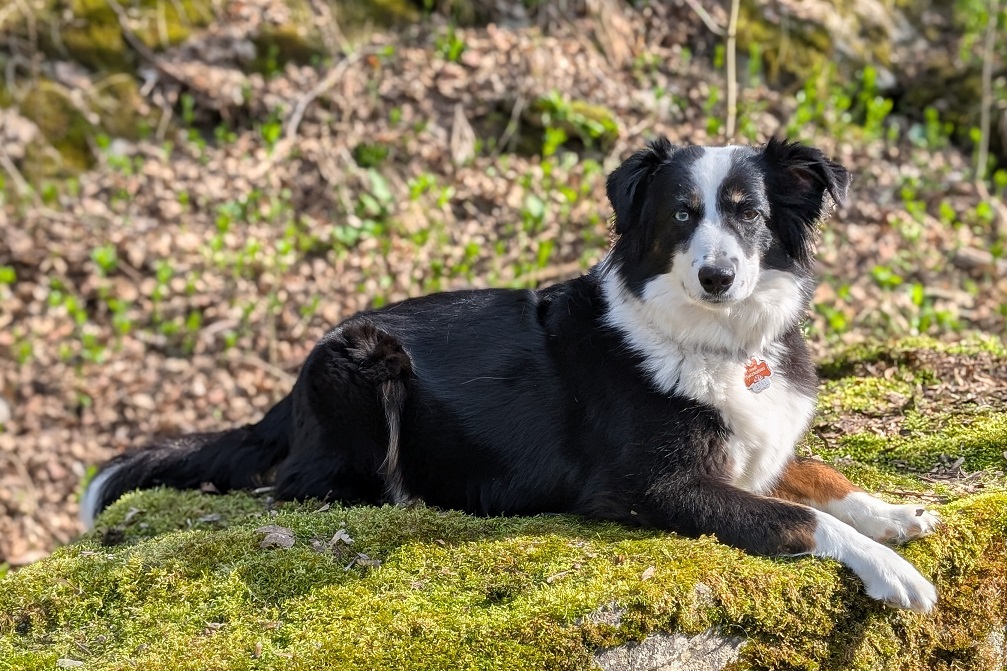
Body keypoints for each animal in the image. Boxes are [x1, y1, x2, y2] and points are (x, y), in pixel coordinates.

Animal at [82, 138, 939, 612]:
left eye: (748, 213)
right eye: (681, 216)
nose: (717, 276)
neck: (717, 340)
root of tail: (287, 390)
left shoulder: (751, 450)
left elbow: (819, 478)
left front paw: (894, 513)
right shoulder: (653, 486)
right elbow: (801, 518)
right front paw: (891, 569)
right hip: (363, 363)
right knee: (310, 484)